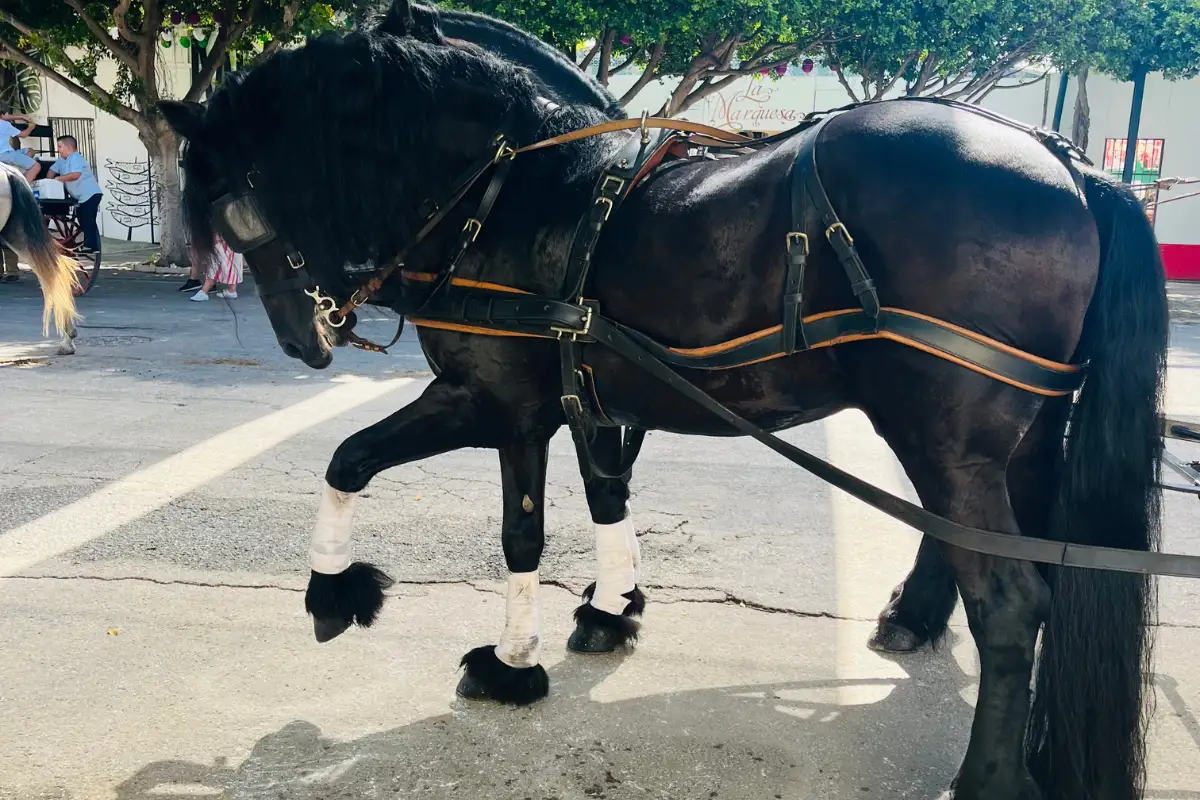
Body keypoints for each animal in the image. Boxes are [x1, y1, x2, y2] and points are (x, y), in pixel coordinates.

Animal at [159, 4, 1170, 798]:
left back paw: (989, 774)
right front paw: (610, 610)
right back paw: (927, 632)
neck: (517, 187)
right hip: (1016, 434)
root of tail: (1067, 161)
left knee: (1009, 601)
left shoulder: (496, 404)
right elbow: (600, 502)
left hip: (943, 435)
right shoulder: (585, 401)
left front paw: (436, 633)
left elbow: (429, 494)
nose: (307, 340)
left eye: (236, 206)